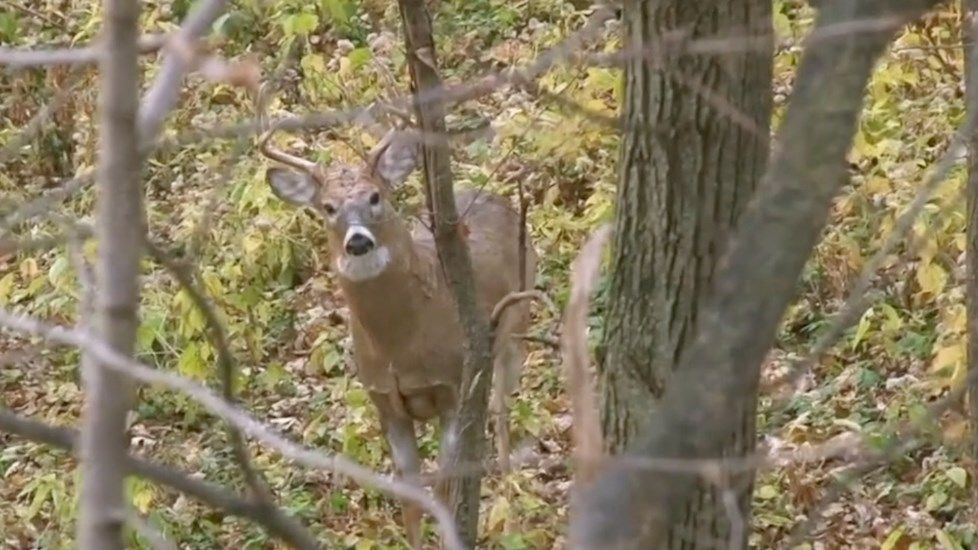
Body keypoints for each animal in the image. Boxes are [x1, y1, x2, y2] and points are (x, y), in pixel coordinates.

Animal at [255, 91, 538, 547]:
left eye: (375, 196)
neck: (400, 345)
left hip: (517, 327)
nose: (357, 241)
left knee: (502, 411)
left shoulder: (450, 386)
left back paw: (511, 515)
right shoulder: (384, 400)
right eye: (328, 207)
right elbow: (410, 497)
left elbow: (443, 489)